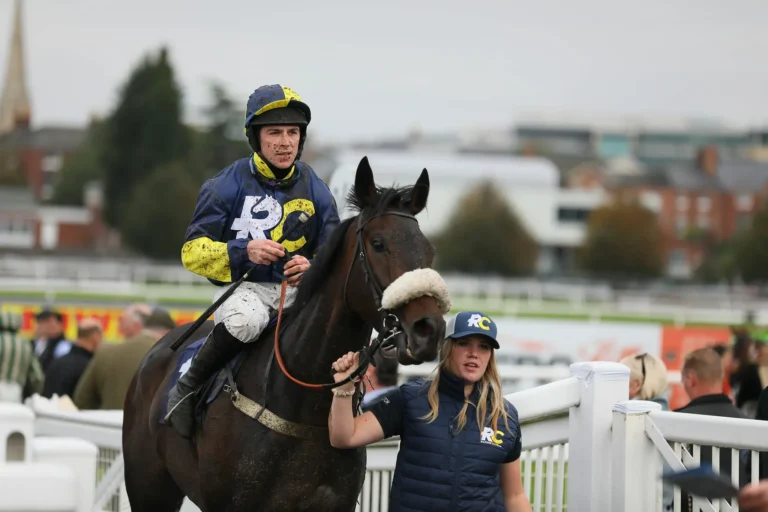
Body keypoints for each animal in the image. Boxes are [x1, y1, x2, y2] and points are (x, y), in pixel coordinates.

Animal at [121, 157, 450, 512]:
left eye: (429, 250)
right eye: (378, 244)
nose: (428, 330)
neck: (305, 409)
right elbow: (198, 242)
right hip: (149, 488)